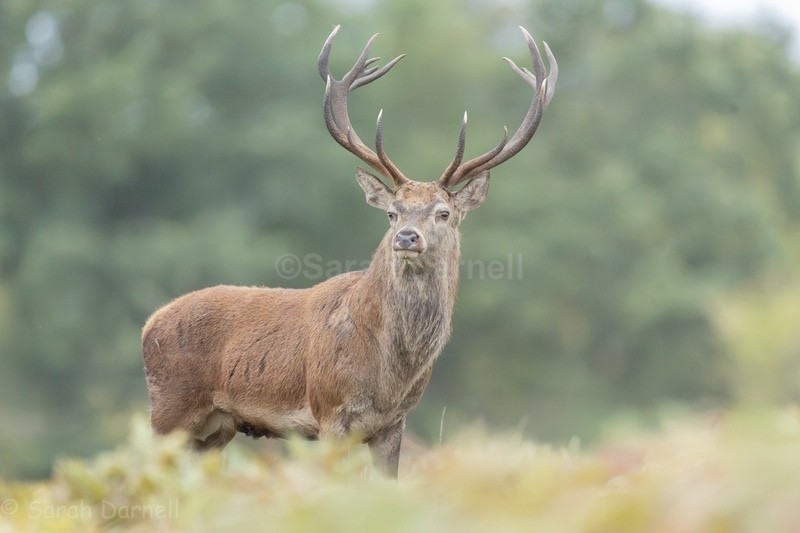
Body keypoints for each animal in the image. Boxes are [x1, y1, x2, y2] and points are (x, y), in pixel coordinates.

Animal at [141, 25, 557, 477]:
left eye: (444, 212)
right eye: (393, 213)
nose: (407, 237)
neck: (389, 374)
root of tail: (149, 324)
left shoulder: (395, 422)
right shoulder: (329, 411)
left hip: (216, 429)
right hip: (169, 408)